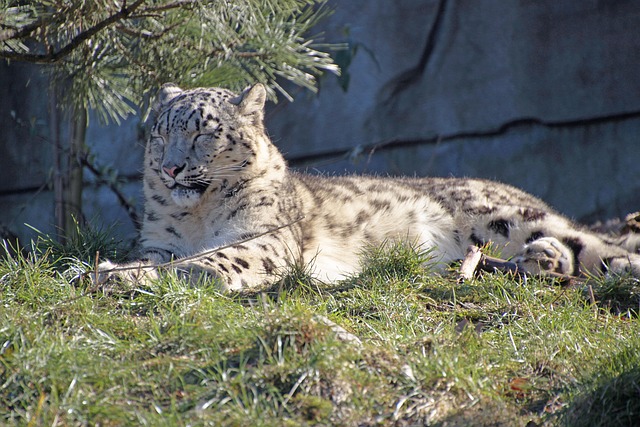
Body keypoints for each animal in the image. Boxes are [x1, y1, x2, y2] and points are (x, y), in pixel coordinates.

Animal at [97, 83, 640, 290]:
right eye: (160, 133)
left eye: (204, 132)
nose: (171, 169)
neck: (196, 217)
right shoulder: (159, 242)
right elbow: (157, 259)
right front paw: (113, 269)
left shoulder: (262, 240)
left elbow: (214, 260)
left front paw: (118, 275)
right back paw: (542, 260)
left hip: (508, 216)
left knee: (597, 244)